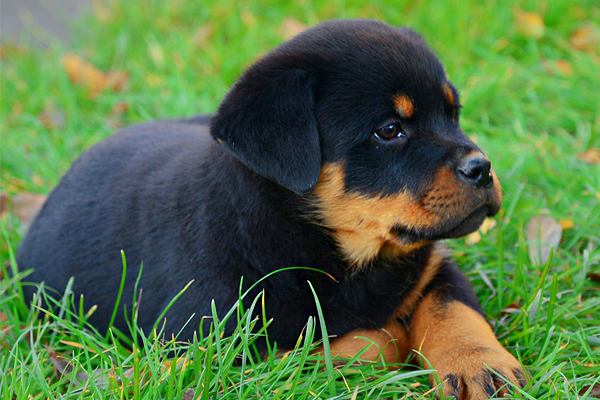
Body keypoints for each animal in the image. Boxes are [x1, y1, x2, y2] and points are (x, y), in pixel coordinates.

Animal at [18, 19, 524, 400]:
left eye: (453, 114)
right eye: (389, 130)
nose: (482, 167)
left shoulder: (433, 265)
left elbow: (453, 308)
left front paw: (480, 367)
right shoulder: (215, 348)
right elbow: (359, 343)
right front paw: (395, 337)